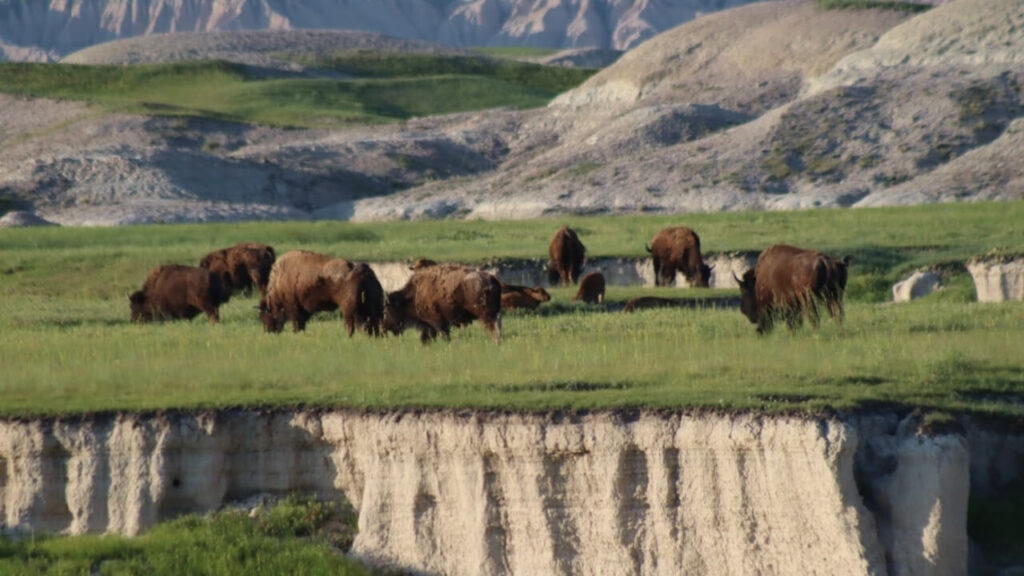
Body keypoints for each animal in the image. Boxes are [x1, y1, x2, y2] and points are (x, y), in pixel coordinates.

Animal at [256, 249, 385, 334]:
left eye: (264, 316)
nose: (268, 331)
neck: (278, 281)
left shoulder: (293, 307)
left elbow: (297, 322)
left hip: (350, 310)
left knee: (353, 325)